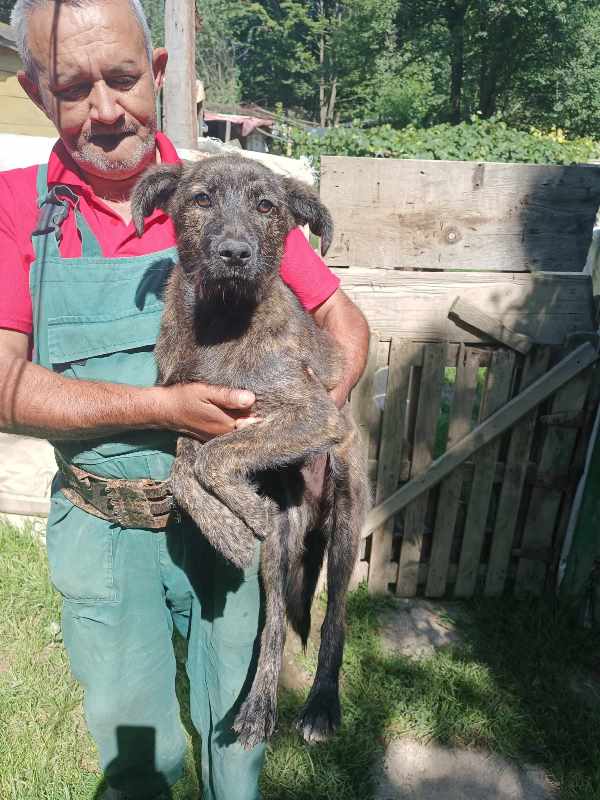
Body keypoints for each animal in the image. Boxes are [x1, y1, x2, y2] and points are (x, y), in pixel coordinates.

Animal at [130, 156, 370, 752]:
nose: (235, 253)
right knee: (277, 622)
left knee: (334, 619)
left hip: (346, 522)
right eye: (200, 199)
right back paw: (258, 707)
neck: (223, 321)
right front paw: (228, 524)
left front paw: (241, 514)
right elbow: (183, 468)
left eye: (266, 206)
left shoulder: (315, 415)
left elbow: (214, 457)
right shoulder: (193, 410)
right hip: (280, 550)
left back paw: (320, 707)